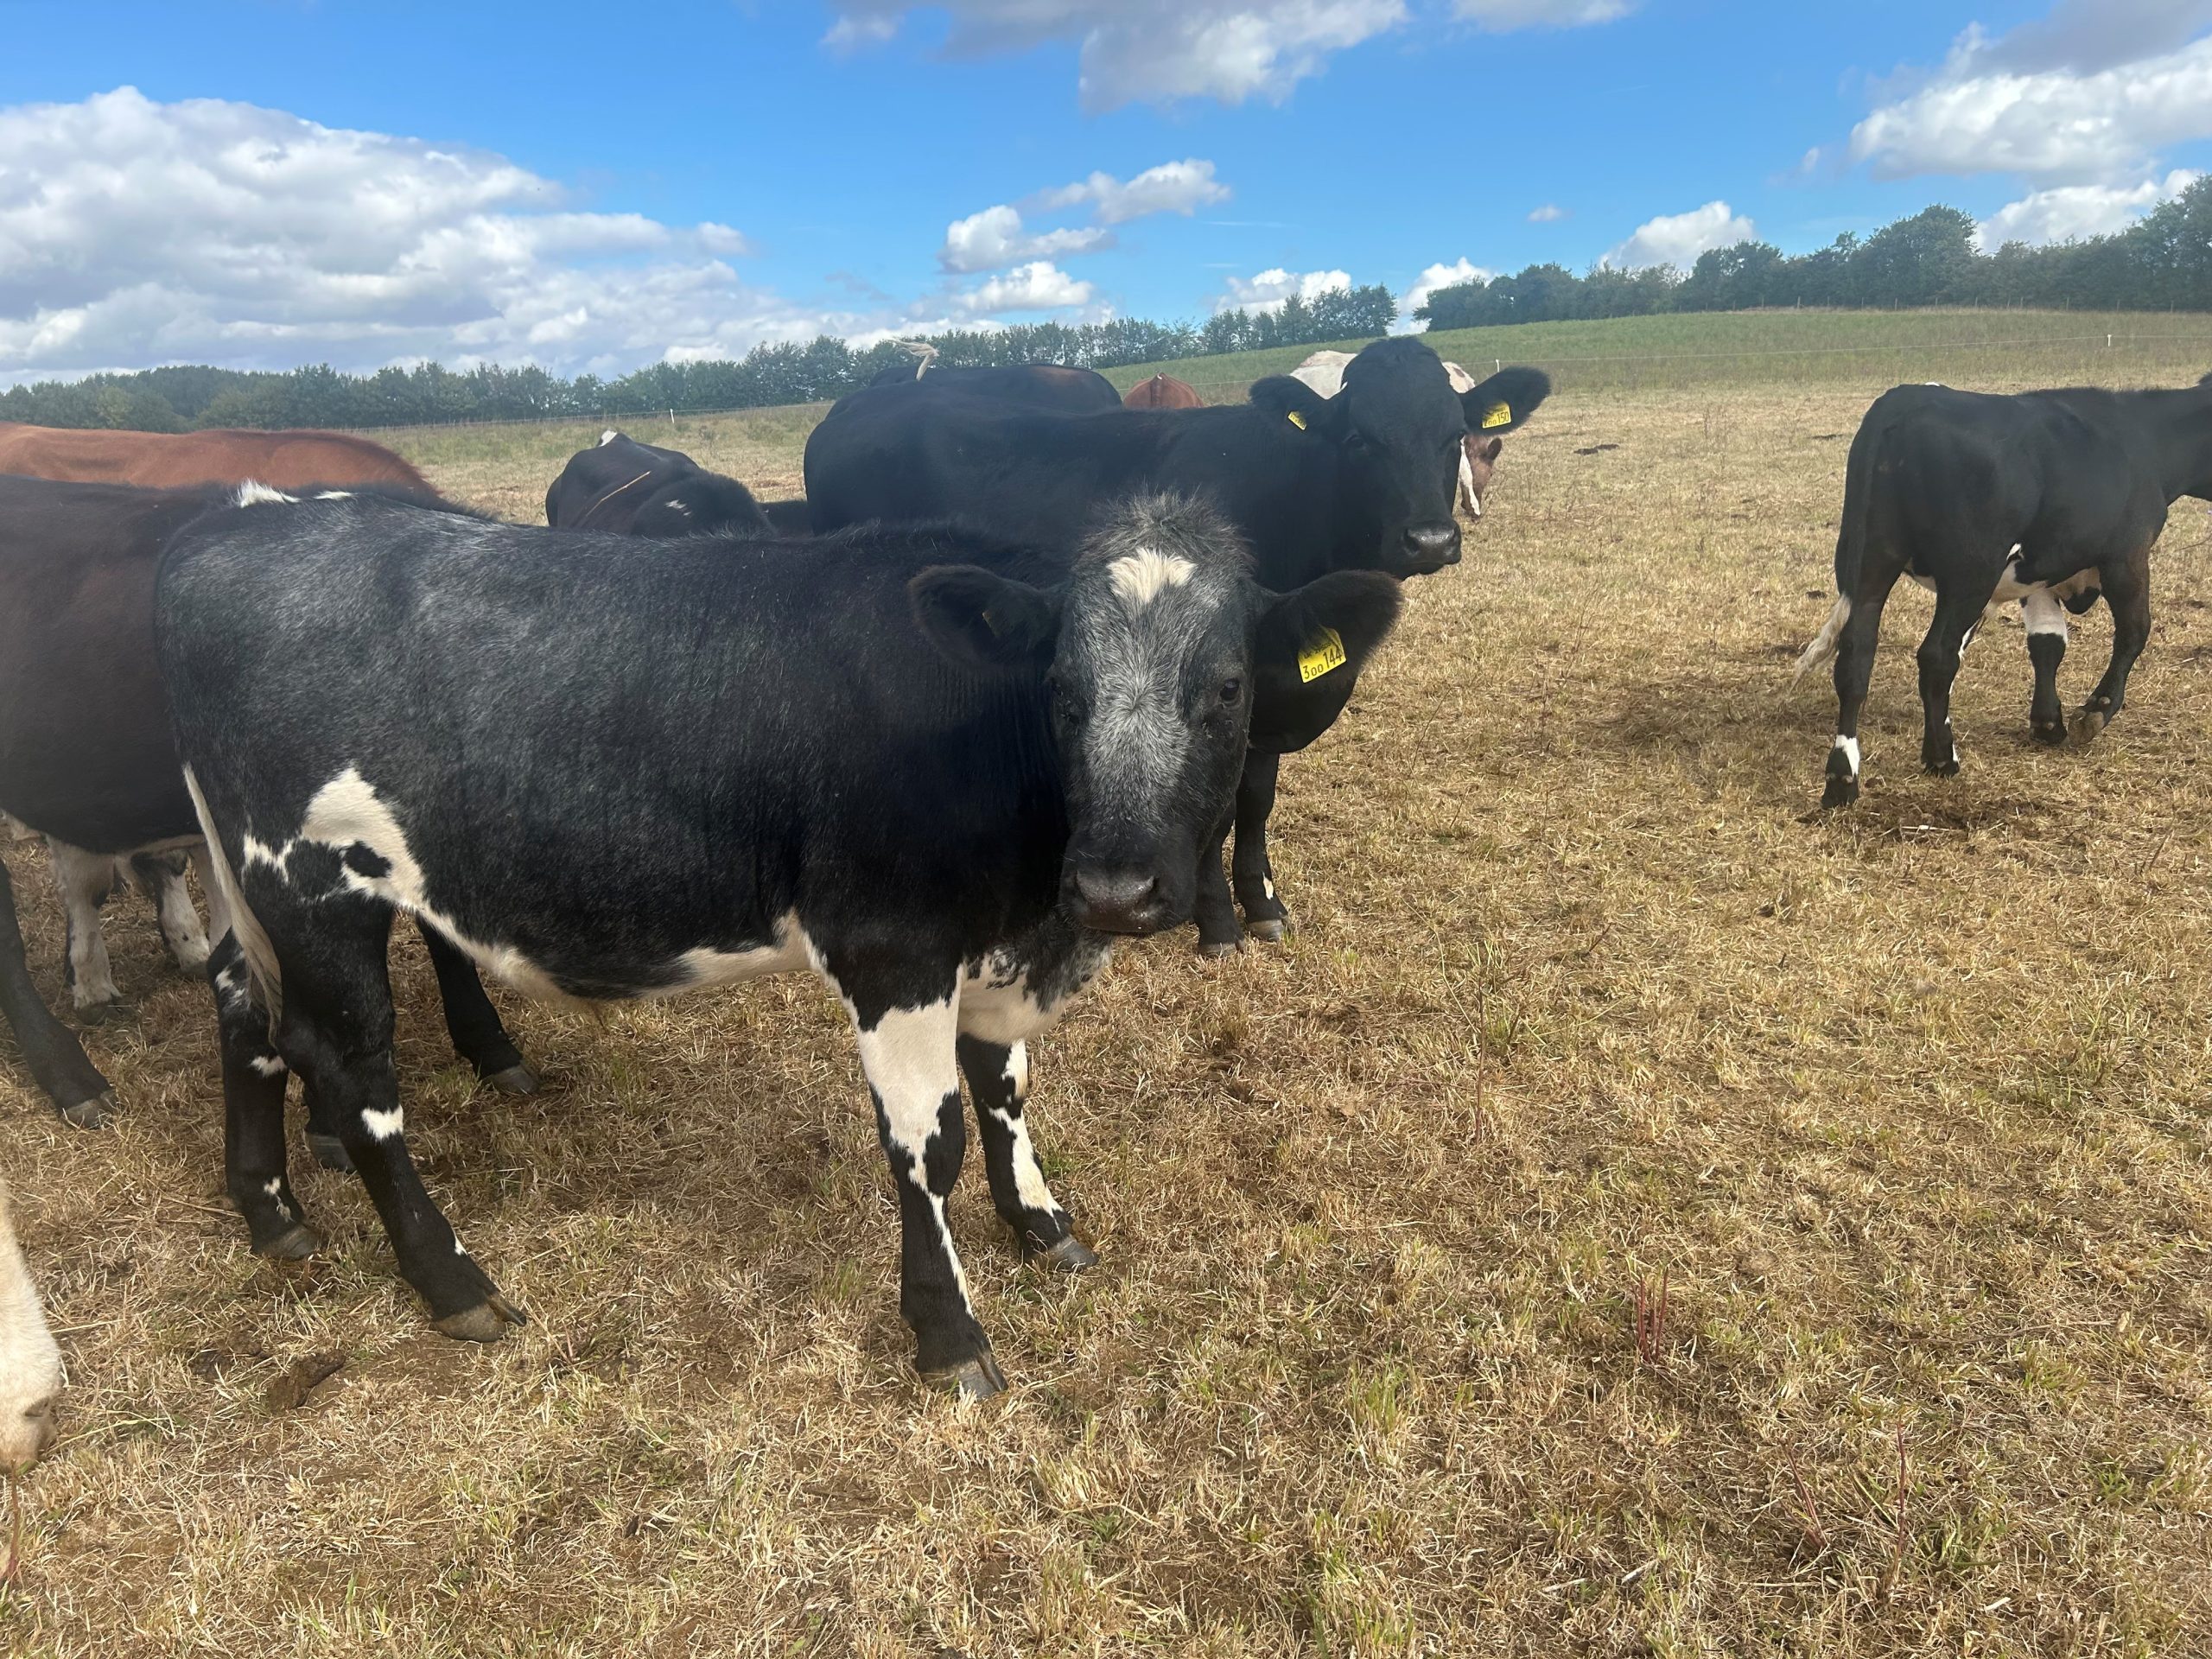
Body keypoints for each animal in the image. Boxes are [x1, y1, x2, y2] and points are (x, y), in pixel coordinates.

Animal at [156, 490, 1399, 1398]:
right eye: (1062, 689)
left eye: (1225, 687)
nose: (1117, 886)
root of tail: (242, 528)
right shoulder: (892, 949)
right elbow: (930, 1143)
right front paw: (948, 1336)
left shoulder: (991, 956)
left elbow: (1003, 1090)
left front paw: (1040, 1221)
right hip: (310, 884)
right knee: (351, 1073)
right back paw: (450, 1279)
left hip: (248, 889)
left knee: (242, 1007)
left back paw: (270, 1208)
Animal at [1794, 375, 2212, 808]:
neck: (2145, 437)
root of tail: (1904, 400)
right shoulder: (2127, 557)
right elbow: (2134, 631)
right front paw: (2096, 710)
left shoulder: (2039, 572)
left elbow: (2047, 643)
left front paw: (2047, 722)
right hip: (1970, 575)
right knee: (1937, 656)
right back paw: (1941, 756)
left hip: (1870, 566)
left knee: (1856, 659)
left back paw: (1843, 777)